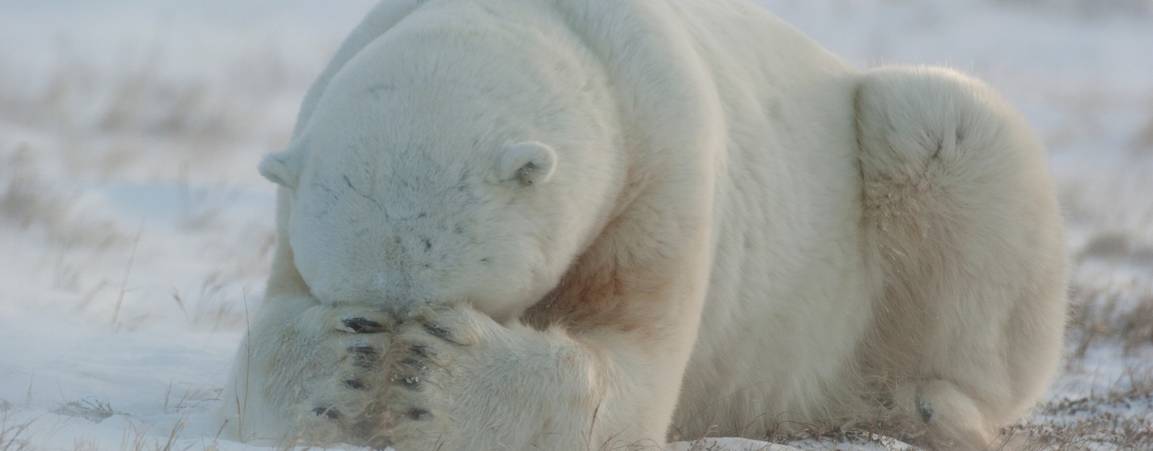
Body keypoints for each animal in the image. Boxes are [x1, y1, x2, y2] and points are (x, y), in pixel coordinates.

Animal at [219, 0, 1068, 449]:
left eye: (447, 306)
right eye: (358, 309)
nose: (378, 417)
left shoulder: (662, 166)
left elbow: (632, 367)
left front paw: (436, 385)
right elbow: (262, 344)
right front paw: (335, 373)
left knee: (942, 124)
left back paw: (925, 405)